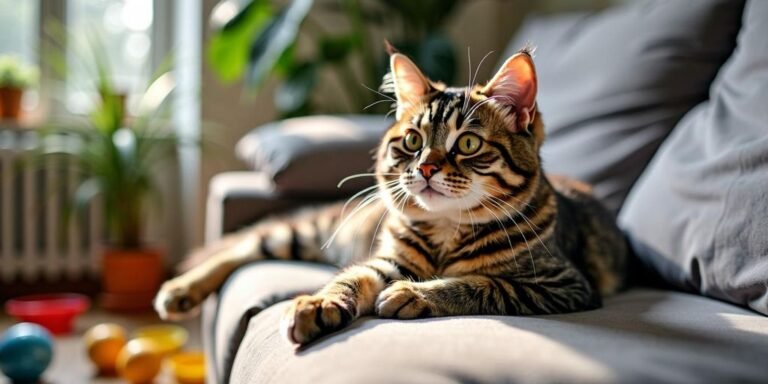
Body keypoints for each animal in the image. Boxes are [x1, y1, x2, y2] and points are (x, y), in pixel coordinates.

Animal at [153, 47, 628, 344]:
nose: (427, 168)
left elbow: (484, 283)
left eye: (467, 144)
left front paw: (415, 294)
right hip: (310, 232)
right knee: (245, 246)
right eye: (414, 141)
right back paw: (180, 289)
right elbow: (349, 278)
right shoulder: (389, 260)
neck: (447, 230)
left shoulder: (564, 283)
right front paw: (319, 302)